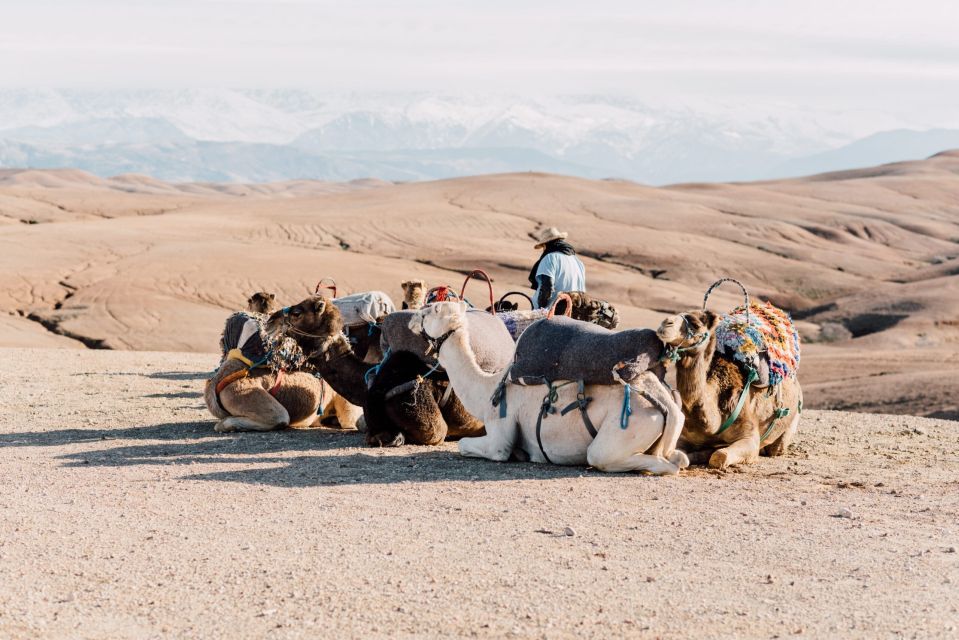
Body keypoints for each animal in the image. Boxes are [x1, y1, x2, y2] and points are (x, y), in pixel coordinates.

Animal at [408, 302, 688, 476]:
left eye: (432, 310)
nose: (411, 317)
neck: (487, 388)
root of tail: (668, 407)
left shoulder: (501, 431)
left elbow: (467, 445)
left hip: (627, 428)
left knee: (607, 457)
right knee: (679, 458)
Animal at [660, 308, 804, 468]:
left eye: (696, 325)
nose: (665, 323)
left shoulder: (749, 436)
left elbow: (719, 456)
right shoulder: (687, 437)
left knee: (776, 447)